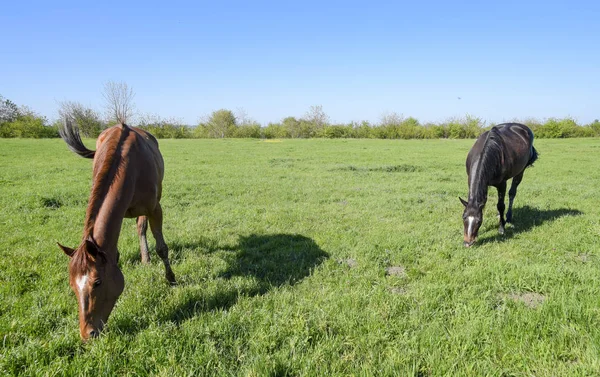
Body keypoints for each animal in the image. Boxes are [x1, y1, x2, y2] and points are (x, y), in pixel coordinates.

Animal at [56, 120, 176, 340]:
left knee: (141, 228)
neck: (129, 167)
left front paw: (171, 279)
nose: (88, 333)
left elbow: (162, 247)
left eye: (97, 282)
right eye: (71, 285)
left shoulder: (155, 208)